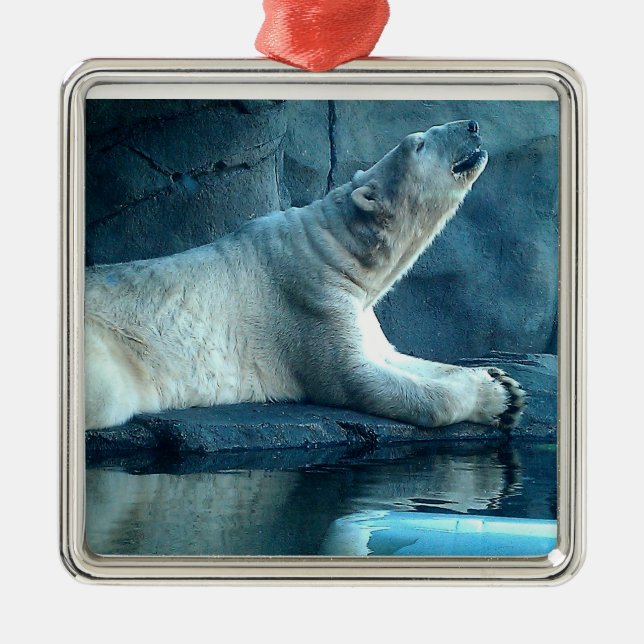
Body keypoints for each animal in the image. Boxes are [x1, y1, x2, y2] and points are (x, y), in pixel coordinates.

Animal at [84, 119, 525, 431]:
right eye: (419, 143)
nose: (472, 125)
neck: (333, 249)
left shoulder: (357, 309)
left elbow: (391, 356)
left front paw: (504, 383)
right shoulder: (309, 301)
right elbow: (355, 377)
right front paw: (494, 400)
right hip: (109, 356)